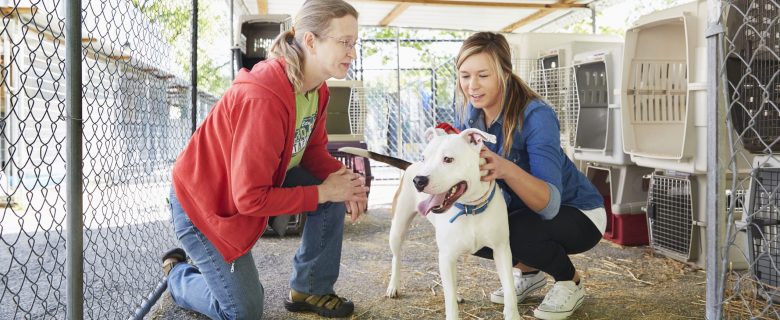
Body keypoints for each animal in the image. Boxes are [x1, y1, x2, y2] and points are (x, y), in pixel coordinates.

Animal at [340, 127, 516, 320]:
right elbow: (449, 301)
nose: (418, 181)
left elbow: (510, 290)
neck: (469, 209)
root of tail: (411, 165)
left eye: (448, 159)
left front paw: (513, 314)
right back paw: (394, 286)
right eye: (424, 158)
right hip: (397, 229)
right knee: (396, 257)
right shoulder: (447, 254)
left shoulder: (501, 250)